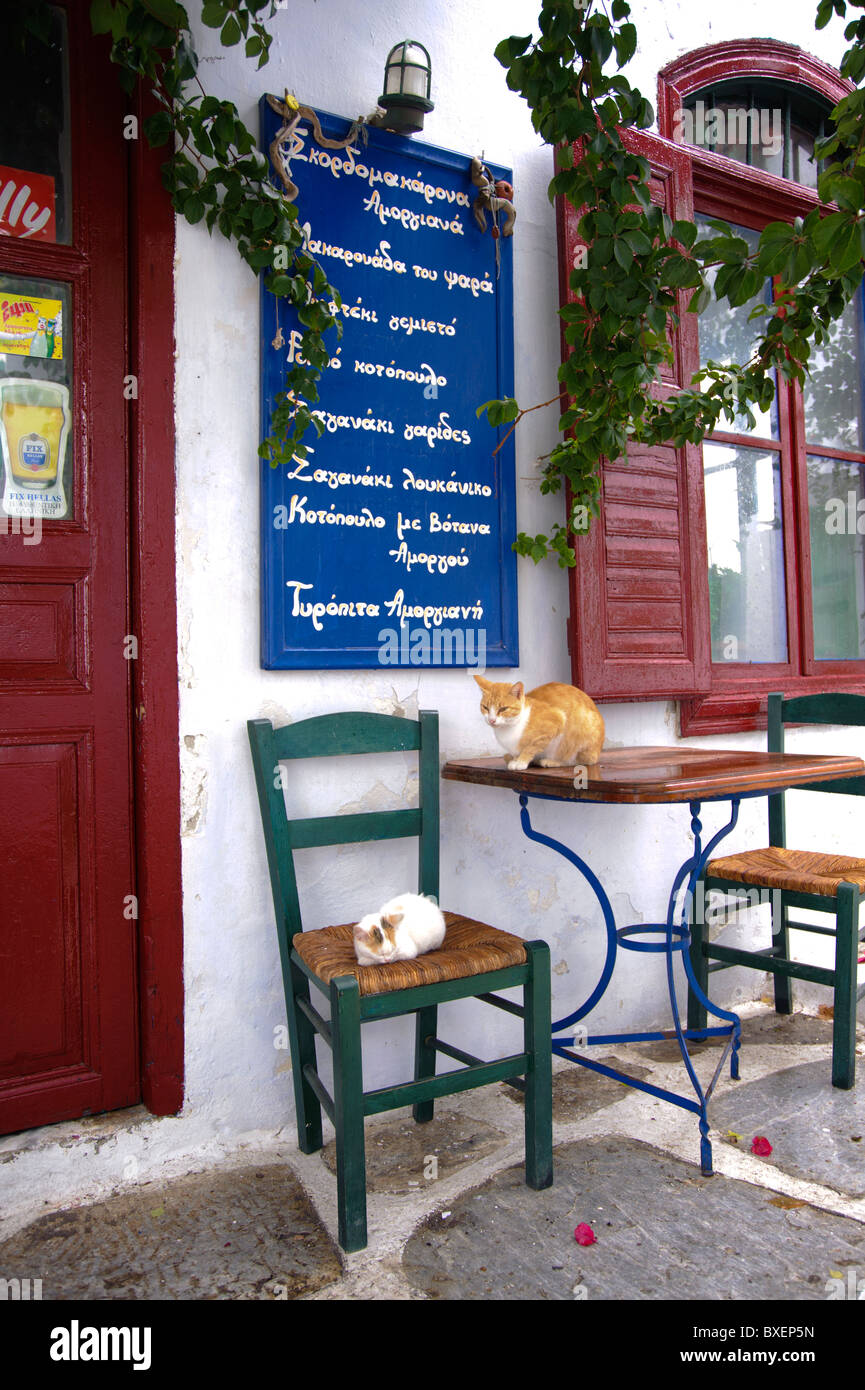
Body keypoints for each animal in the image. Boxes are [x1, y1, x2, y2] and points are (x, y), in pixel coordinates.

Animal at [478, 675, 606, 772]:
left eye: (503, 709)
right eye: (485, 707)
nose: (492, 720)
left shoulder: (557, 720)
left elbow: (531, 746)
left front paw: (521, 761)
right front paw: (515, 759)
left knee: (578, 761)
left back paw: (551, 761)